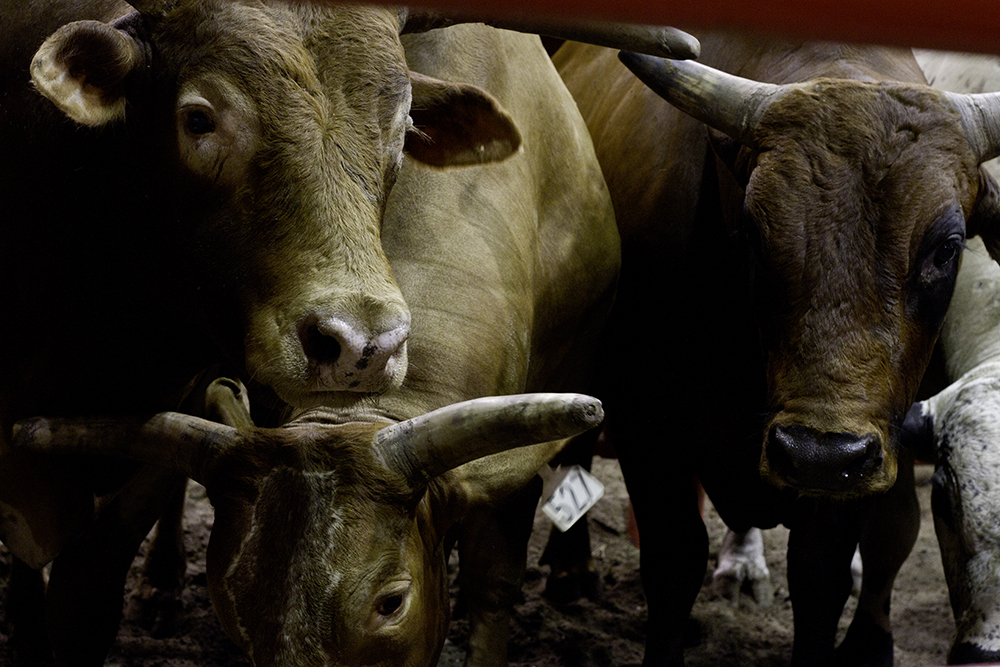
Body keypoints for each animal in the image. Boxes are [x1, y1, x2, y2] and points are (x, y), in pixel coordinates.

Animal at [553, 32, 1000, 667]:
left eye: (947, 248)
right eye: (754, 232)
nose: (815, 455)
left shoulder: (860, 452)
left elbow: (820, 577)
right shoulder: (643, 418)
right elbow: (673, 561)